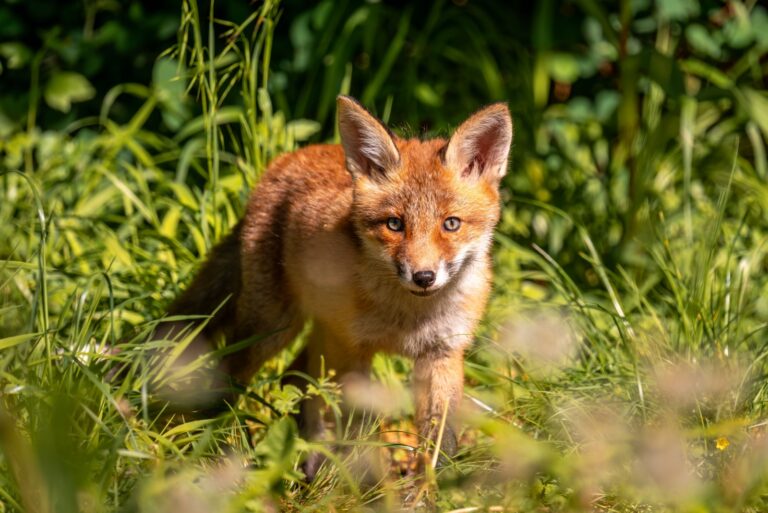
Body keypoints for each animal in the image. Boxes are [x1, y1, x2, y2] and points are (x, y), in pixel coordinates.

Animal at [159, 95, 513, 478]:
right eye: (394, 224)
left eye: (451, 224)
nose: (423, 277)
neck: (407, 318)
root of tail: (289, 157)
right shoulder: (354, 352)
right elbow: (359, 434)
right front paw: (363, 484)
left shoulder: (442, 353)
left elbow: (438, 442)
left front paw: (433, 487)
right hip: (271, 330)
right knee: (233, 375)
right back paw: (220, 444)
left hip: (318, 334)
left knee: (293, 377)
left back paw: (310, 459)